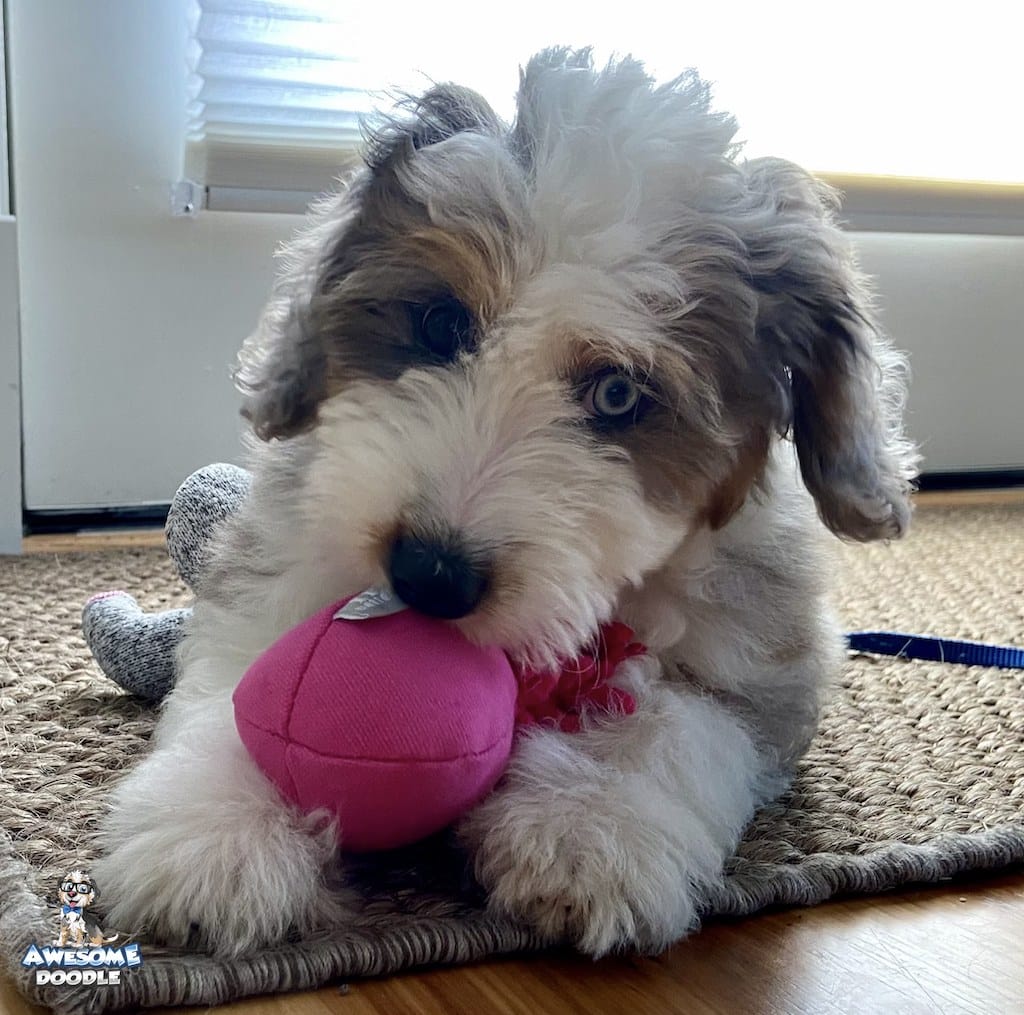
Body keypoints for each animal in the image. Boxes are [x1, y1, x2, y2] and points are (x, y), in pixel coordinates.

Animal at [94, 47, 913, 954]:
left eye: (619, 394)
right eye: (441, 323)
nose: (429, 573)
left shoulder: (765, 661)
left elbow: (681, 718)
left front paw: (588, 823)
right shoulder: (287, 548)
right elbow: (243, 670)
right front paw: (217, 828)